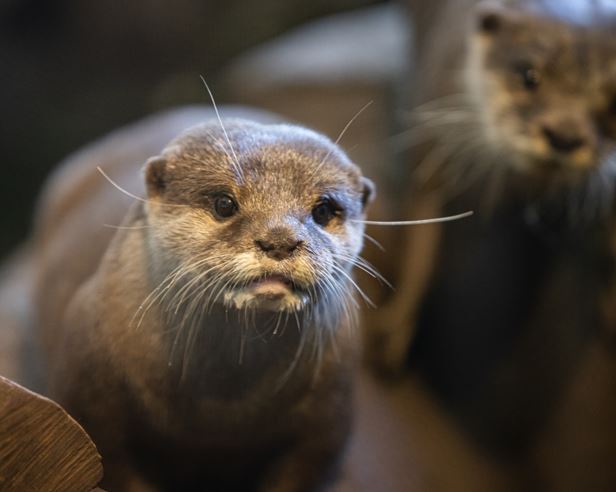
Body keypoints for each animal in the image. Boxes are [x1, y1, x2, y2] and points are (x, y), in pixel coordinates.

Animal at [27, 107, 376, 492]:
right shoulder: (93, 402)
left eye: (324, 210)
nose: (279, 240)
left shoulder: (327, 421)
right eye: (224, 203)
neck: (220, 415)